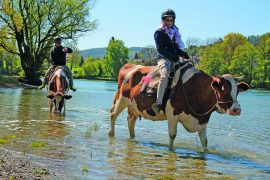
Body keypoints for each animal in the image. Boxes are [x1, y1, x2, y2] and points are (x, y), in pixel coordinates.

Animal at [107, 63, 249, 149]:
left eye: (237, 90)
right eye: (223, 89)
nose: (236, 109)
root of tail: (131, 65)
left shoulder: (202, 121)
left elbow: (204, 142)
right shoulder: (172, 115)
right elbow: (172, 136)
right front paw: (170, 150)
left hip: (134, 107)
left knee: (130, 121)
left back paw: (133, 138)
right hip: (122, 99)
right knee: (113, 114)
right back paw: (111, 133)